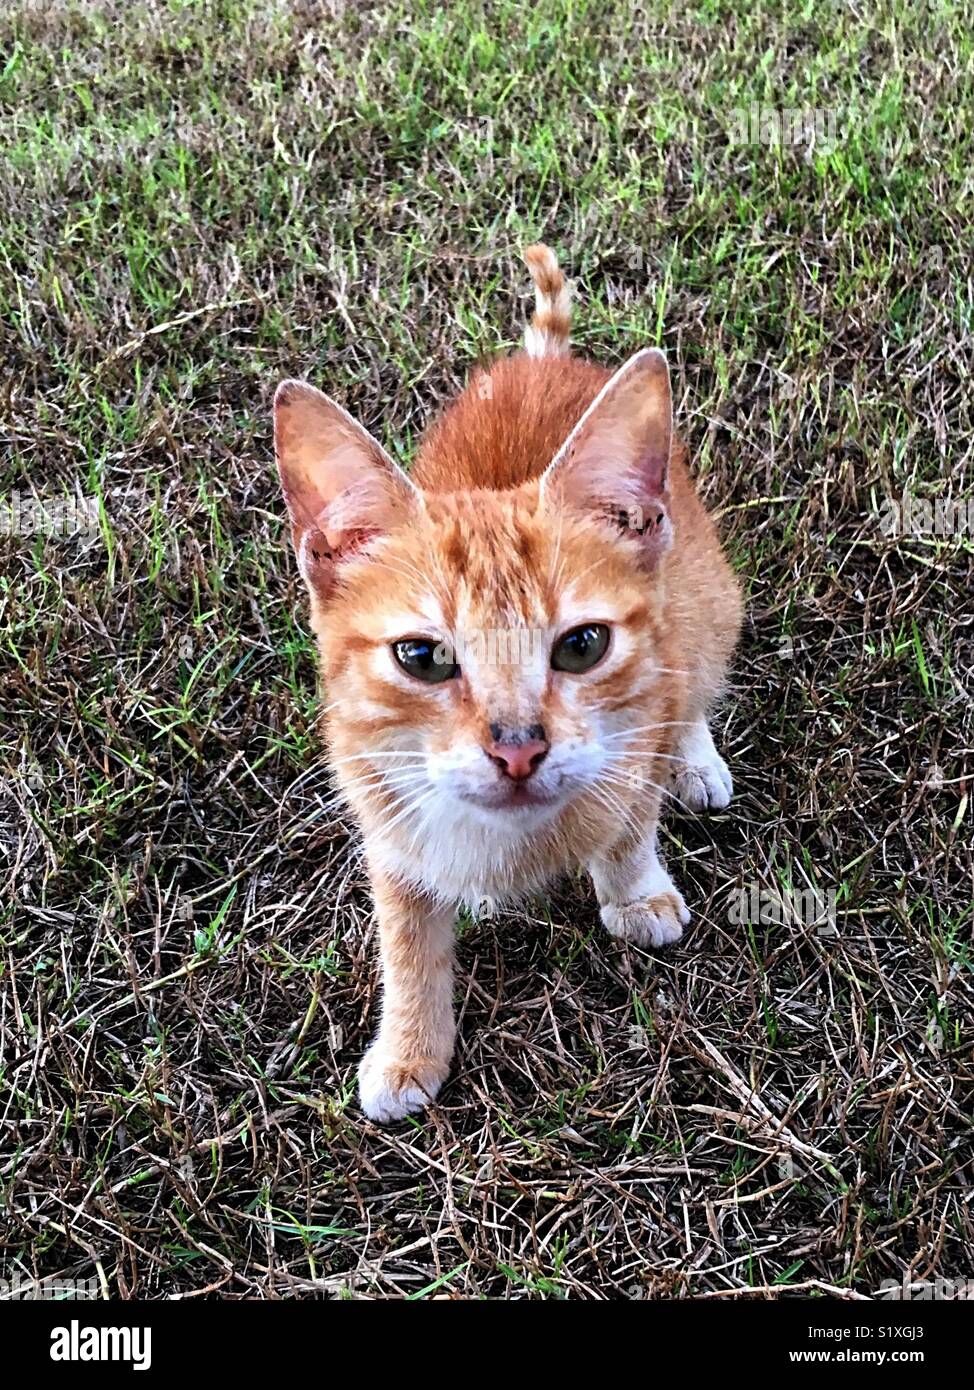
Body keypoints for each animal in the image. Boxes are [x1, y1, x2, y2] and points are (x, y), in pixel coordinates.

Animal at [269, 244, 739, 1123]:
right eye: (421, 658)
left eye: (582, 646)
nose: (518, 749)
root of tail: (543, 360)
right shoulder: (381, 811)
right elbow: (406, 937)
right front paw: (411, 1046)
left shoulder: (639, 716)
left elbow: (629, 818)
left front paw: (635, 891)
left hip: (705, 595)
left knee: (691, 677)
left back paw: (694, 758)